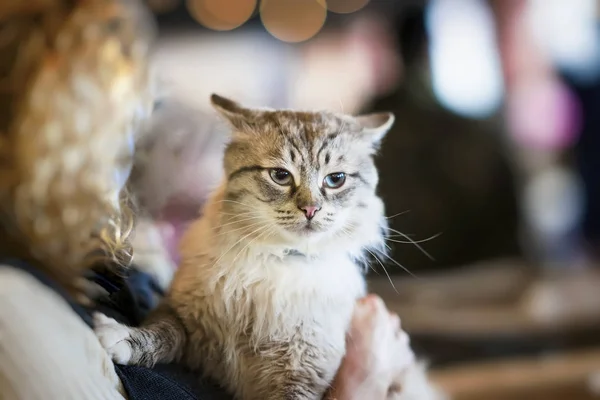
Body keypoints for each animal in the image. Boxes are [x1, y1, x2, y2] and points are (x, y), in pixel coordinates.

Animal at [94, 94, 400, 400]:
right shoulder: (182, 318)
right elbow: (162, 333)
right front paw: (121, 337)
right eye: (280, 176)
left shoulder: (299, 376)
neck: (277, 256)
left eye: (336, 180)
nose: (311, 210)